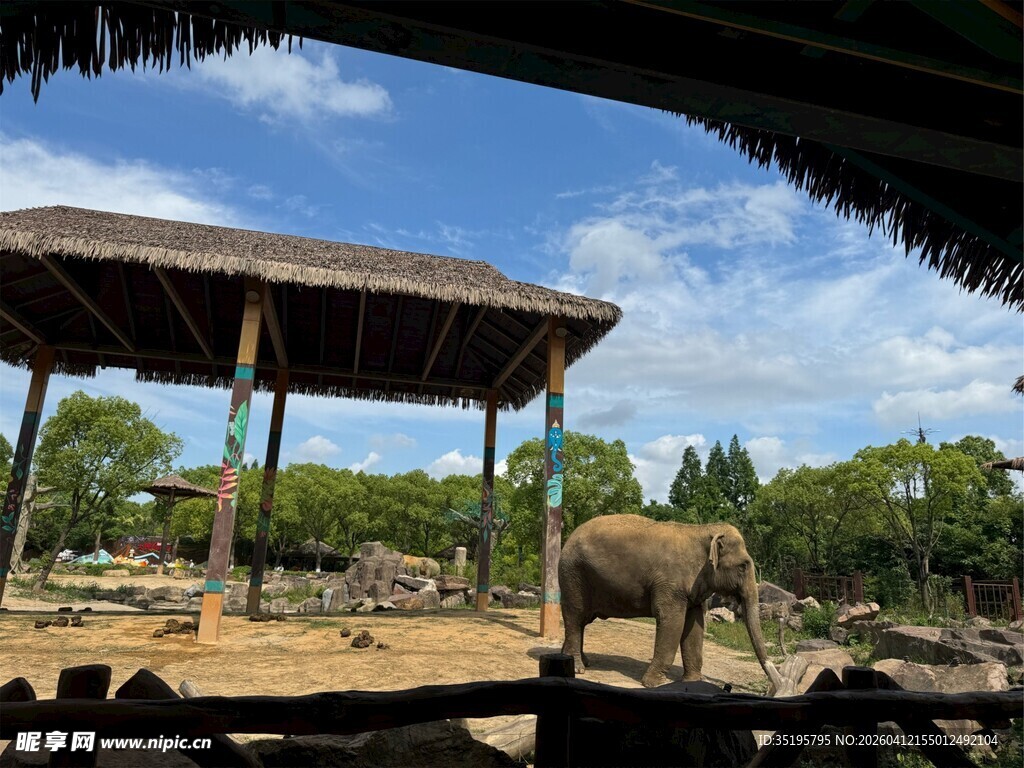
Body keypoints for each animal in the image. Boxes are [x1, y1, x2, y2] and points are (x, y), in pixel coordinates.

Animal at [559, 514, 780, 689]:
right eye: (743, 566)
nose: (773, 684)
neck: (703, 530)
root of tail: (568, 539)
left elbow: (694, 627)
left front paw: (693, 682)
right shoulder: (670, 584)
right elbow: (672, 622)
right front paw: (654, 683)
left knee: (582, 621)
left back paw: (576, 661)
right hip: (573, 576)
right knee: (575, 616)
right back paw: (578, 668)